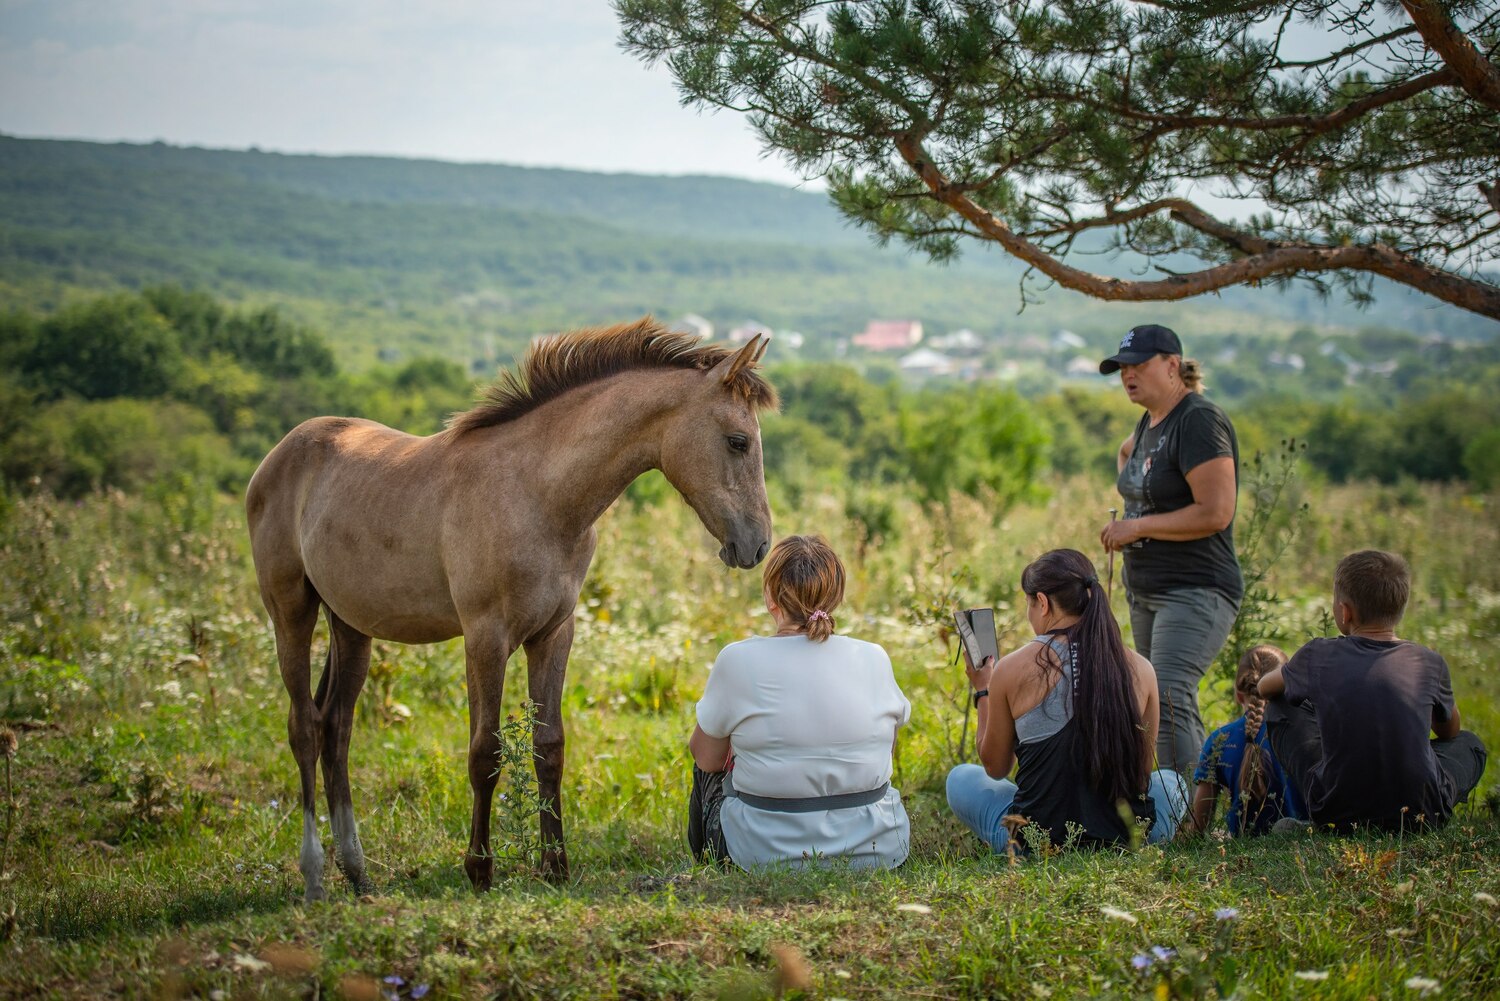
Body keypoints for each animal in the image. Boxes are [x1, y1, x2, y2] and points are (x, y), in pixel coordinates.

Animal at [244, 321, 774, 900]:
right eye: (738, 441)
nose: (758, 545)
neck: (538, 494)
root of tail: (280, 453)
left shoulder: (554, 635)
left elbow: (549, 747)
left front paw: (555, 864)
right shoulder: (485, 638)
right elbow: (485, 753)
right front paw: (479, 868)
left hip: (351, 626)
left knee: (335, 728)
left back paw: (358, 873)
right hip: (291, 611)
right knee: (304, 727)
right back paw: (315, 875)